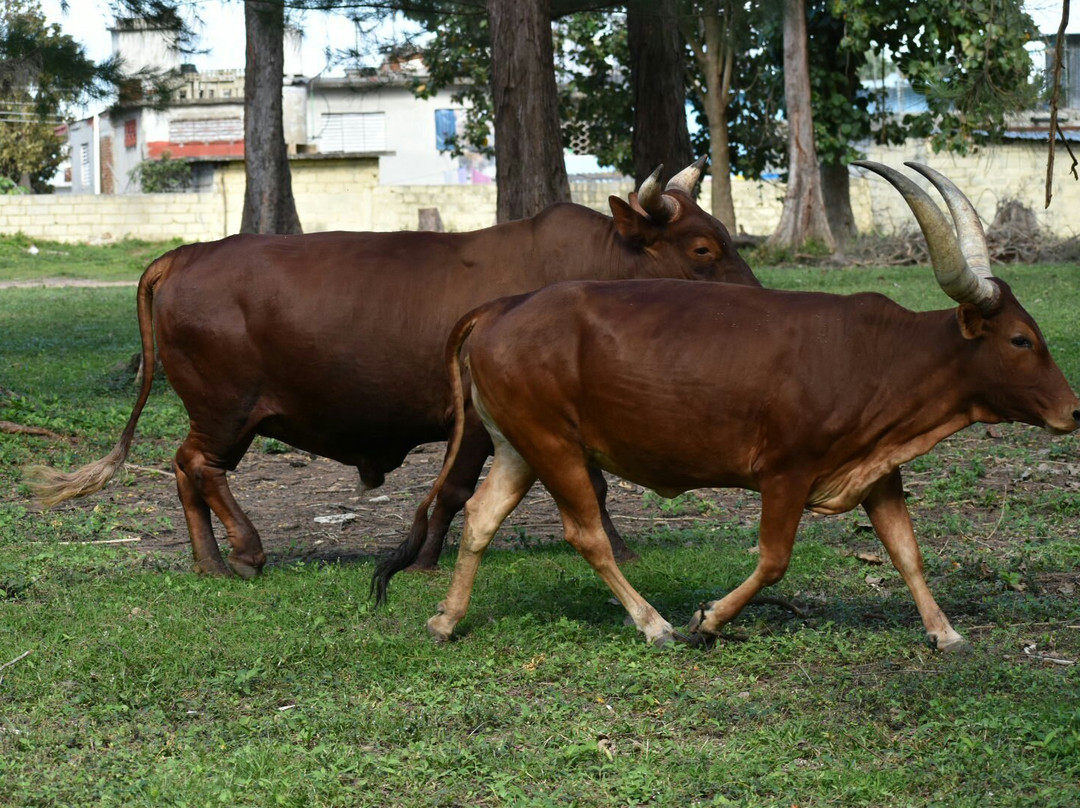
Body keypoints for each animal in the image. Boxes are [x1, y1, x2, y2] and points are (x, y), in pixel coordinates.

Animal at [373, 162, 1080, 648]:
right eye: (1021, 339)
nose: (1073, 411)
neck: (883, 355)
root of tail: (503, 308)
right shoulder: (786, 472)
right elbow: (773, 560)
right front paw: (709, 619)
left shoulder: (879, 469)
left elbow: (907, 551)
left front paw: (945, 631)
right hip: (554, 445)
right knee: (586, 534)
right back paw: (653, 624)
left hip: (521, 445)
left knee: (481, 519)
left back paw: (447, 619)